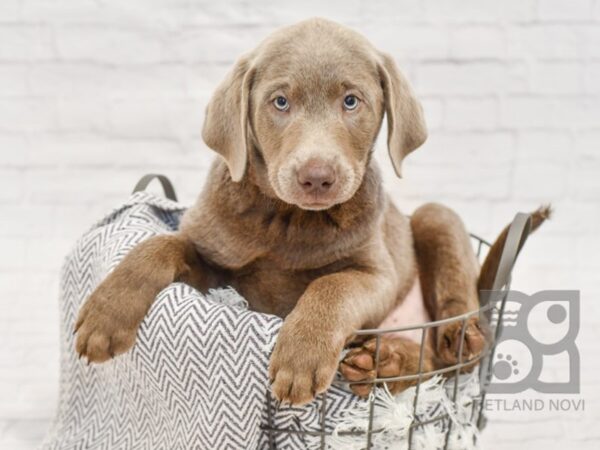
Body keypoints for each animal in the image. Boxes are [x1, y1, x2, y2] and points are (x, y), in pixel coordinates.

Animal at [76, 18, 510, 404]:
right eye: (280, 102)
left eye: (351, 101)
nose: (317, 176)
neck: (290, 220)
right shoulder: (215, 266)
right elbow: (160, 245)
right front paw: (105, 314)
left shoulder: (377, 274)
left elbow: (331, 285)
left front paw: (300, 357)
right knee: (428, 362)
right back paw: (381, 362)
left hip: (434, 217)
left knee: (447, 352)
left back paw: (459, 338)